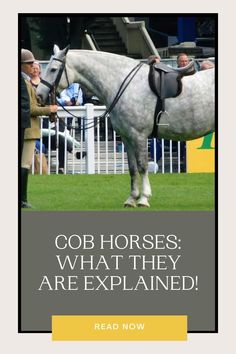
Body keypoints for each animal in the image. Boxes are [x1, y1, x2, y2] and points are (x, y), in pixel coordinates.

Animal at [36, 46, 214, 209]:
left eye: (53, 69)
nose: (39, 95)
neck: (124, 84)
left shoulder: (139, 136)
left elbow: (142, 166)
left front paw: (143, 199)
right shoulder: (127, 138)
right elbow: (132, 168)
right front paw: (132, 199)